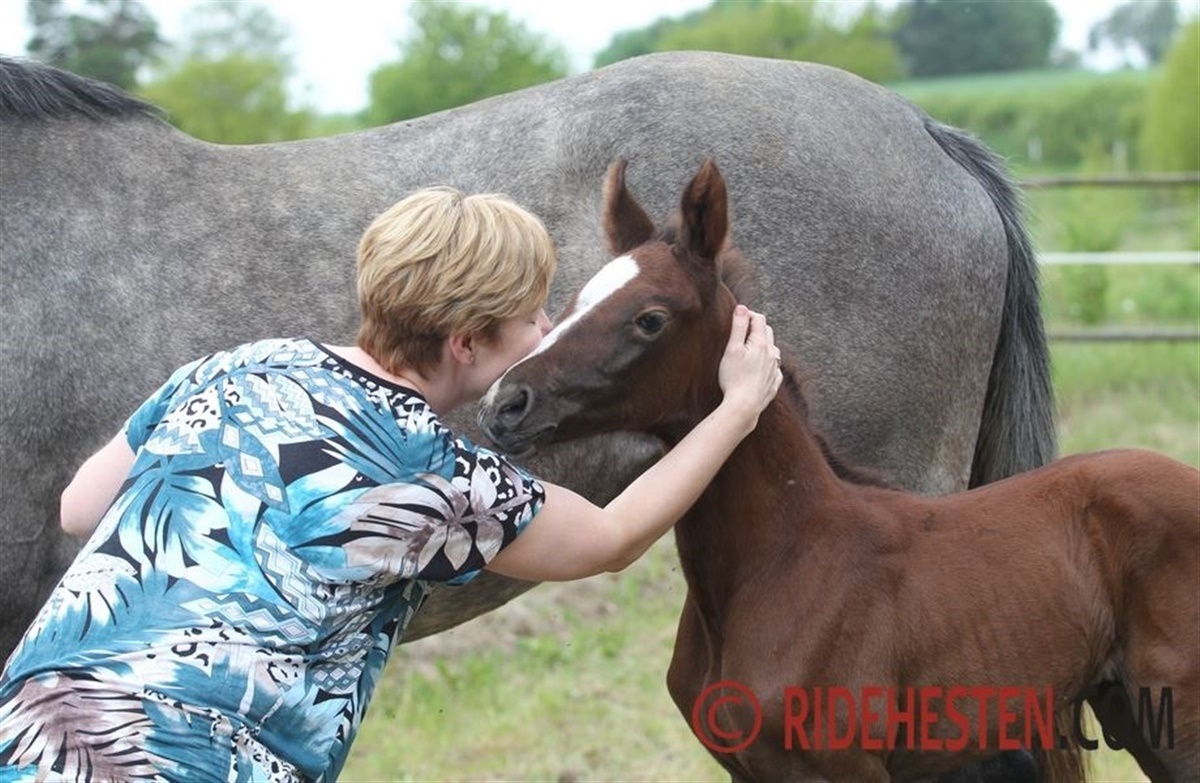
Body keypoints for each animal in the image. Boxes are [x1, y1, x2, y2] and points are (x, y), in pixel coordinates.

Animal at [479, 158, 1200, 783]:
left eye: (649, 318)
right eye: (571, 300)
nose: (503, 404)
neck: (785, 557)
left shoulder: (844, 768)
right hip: (1127, 706)